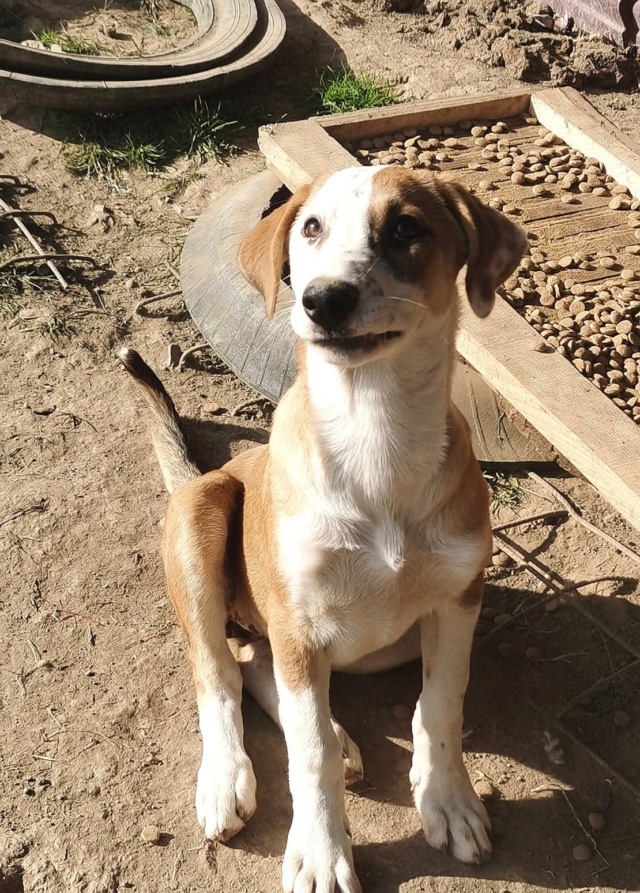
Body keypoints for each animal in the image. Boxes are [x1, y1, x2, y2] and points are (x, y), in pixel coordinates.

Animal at [119, 164, 524, 888]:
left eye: (406, 228)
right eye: (310, 228)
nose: (323, 300)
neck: (373, 434)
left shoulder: (457, 599)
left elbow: (441, 704)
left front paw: (449, 800)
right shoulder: (300, 623)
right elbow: (310, 757)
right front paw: (319, 850)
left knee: (255, 661)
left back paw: (337, 730)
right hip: (202, 517)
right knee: (219, 670)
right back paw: (226, 777)